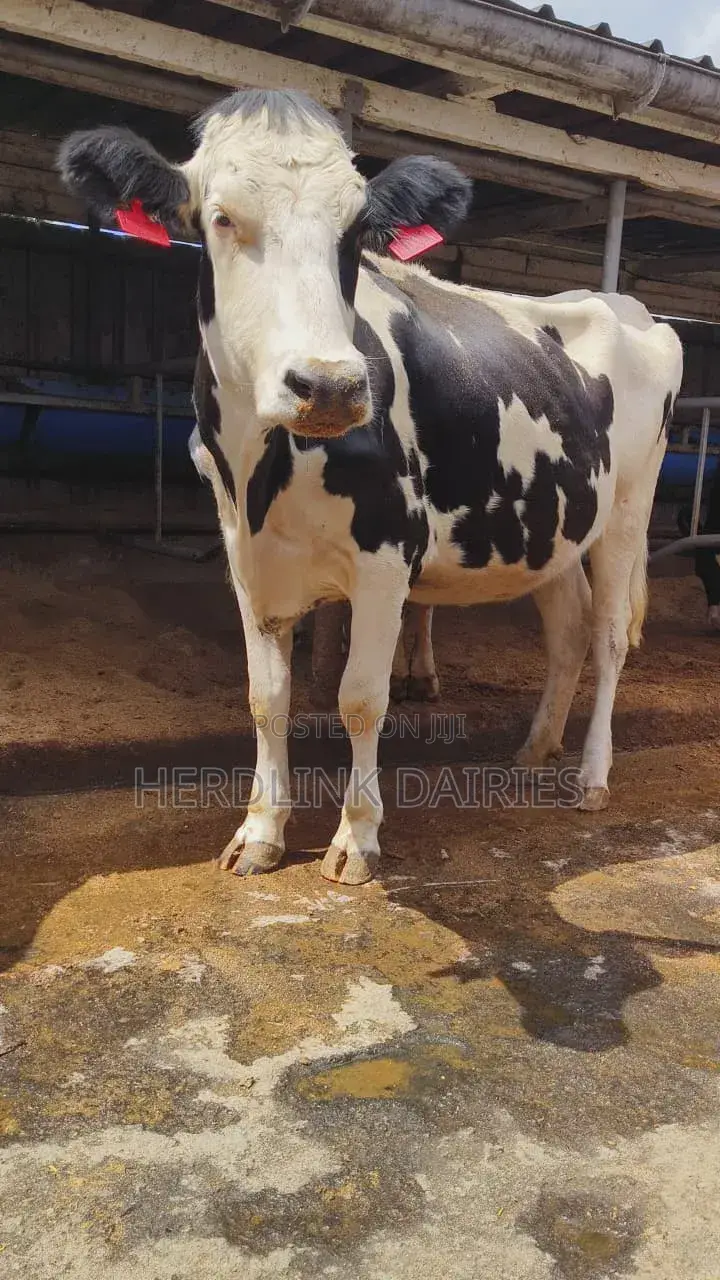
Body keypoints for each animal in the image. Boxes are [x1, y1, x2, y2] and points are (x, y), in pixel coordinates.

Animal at [59, 89, 683, 885]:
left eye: (358, 229)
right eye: (220, 217)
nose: (329, 384)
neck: (263, 471)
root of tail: (628, 307)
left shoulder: (389, 553)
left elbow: (360, 697)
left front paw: (355, 839)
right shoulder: (244, 555)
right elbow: (266, 697)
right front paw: (259, 832)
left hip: (628, 509)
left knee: (607, 636)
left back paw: (592, 777)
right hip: (553, 522)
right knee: (569, 629)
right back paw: (536, 747)